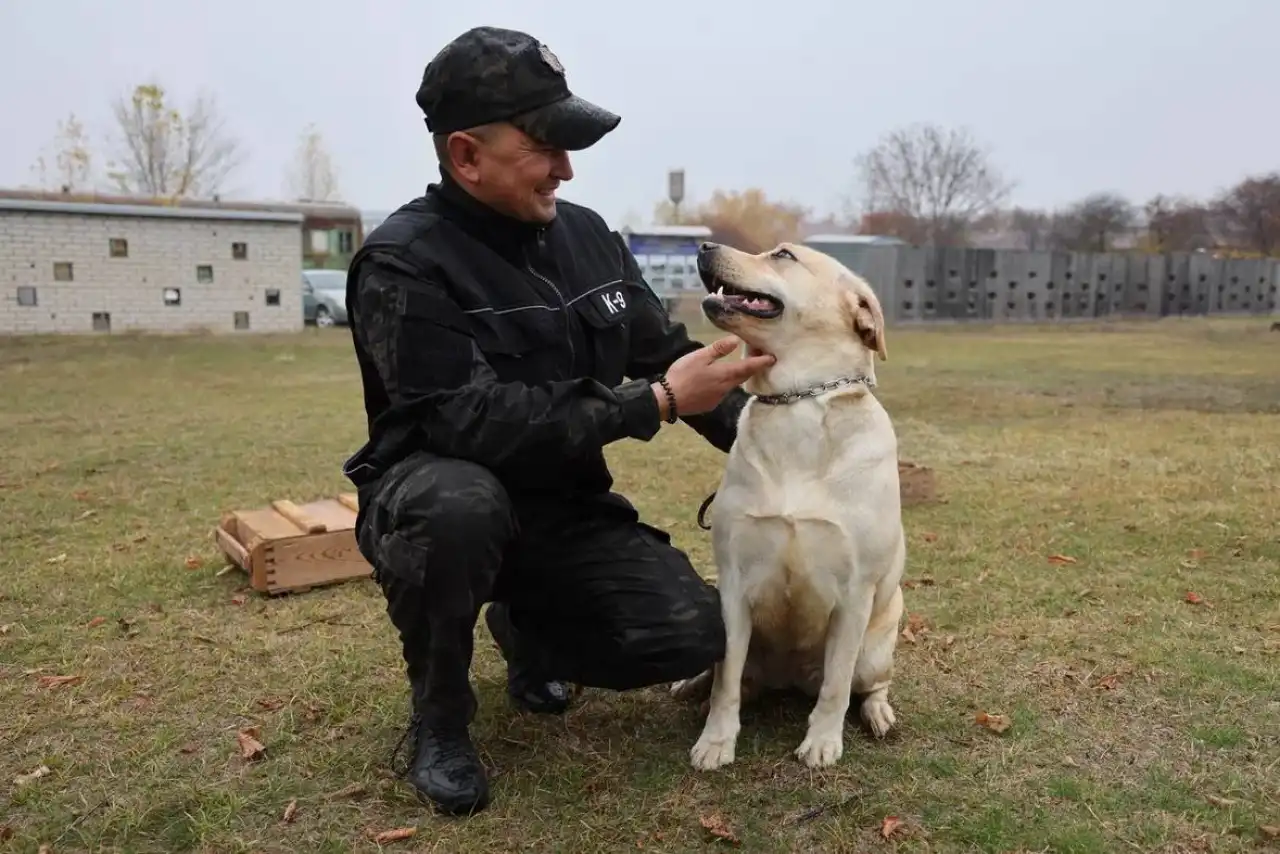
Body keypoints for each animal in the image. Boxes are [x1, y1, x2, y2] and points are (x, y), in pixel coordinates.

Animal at [675, 236, 906, 773]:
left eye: (782, 255)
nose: (704, 244)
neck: (798, 401)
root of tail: (788, 680)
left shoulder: (855, 592)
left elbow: (836, 686)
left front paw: (821, 741)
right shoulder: (732, 583)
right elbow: (726, 682)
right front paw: (716, 741)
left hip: (878, 645)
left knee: (866, 685)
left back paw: (878, 713)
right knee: (725, 676)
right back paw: (689, 684)